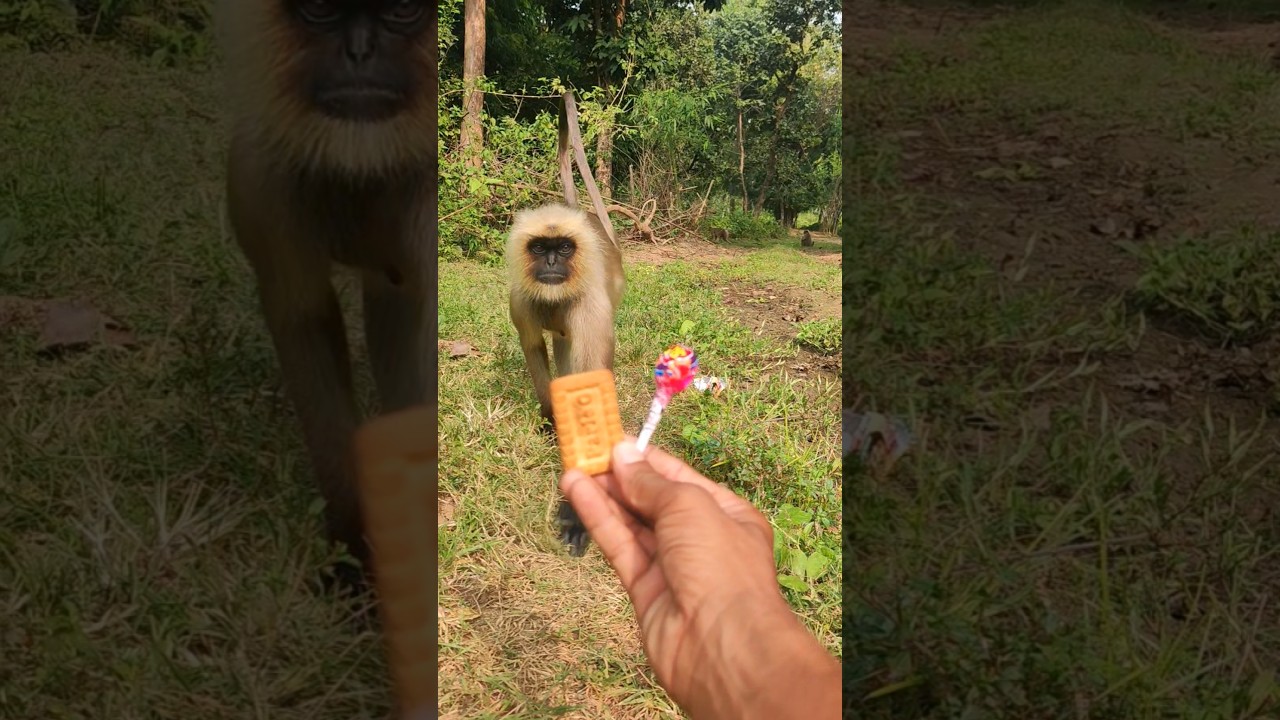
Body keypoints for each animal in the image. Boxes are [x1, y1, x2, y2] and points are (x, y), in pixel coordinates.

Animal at [216, 0, 437, 594]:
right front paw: (354, 547)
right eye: (320, 11)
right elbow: (302, 314)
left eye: (402, 12)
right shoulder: (261, 173)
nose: (359, 51)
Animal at [505, 203, 625, 556]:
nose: (551, 262)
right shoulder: (520, 300)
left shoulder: (591, 307)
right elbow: (532, 346)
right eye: (540, 248)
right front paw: (551, 421)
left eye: (564, 248)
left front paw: (579, 509)